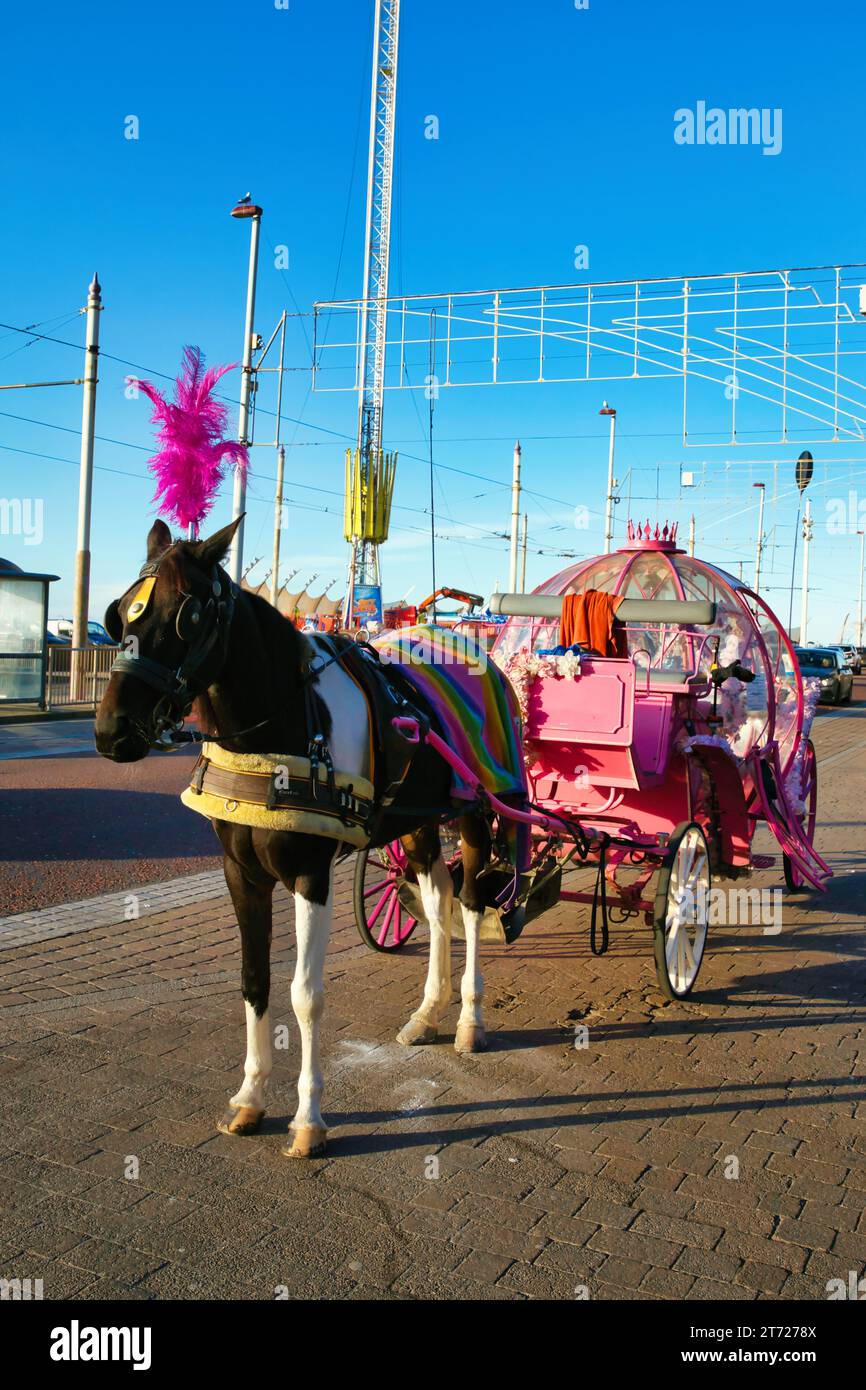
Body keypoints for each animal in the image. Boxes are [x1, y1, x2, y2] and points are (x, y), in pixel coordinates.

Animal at [94, 517, 494, 1156]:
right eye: (120, 613)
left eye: (187, 614)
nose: (111, 731)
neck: (281, 729)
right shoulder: (241, 874)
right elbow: (254, 982)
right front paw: (250, 1099)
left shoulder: (312, 875)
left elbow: (306, 995)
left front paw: (309, 1119)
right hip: (421, 823)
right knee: (439, 904)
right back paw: (427, 1013)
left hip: (479, 811)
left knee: (475, 903)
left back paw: (470, 1021)